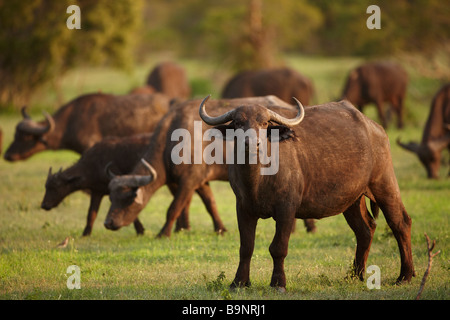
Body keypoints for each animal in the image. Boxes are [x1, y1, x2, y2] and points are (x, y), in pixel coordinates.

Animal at [103, 95, 314, 238]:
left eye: (129, 199)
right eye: (111, 198)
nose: (108, 222)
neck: (172, 137)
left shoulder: (189, 180)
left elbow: (174, 206)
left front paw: (164, 233)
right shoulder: (200, 181)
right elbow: (209, 203)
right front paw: (216, 228)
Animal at [200, 95, 414, 292]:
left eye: (264, 123)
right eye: (238, 122)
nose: (252, 143)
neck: (257, 179)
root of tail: (375, 128)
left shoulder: (286, 209)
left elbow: (278, 247)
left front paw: (278, 283)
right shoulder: (243, 208)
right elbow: (246, 247)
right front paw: (238, 282)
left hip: (384, 183)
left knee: (400, 223)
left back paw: (405, 276)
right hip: (352, 199)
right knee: (365, 229)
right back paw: (355, 275)